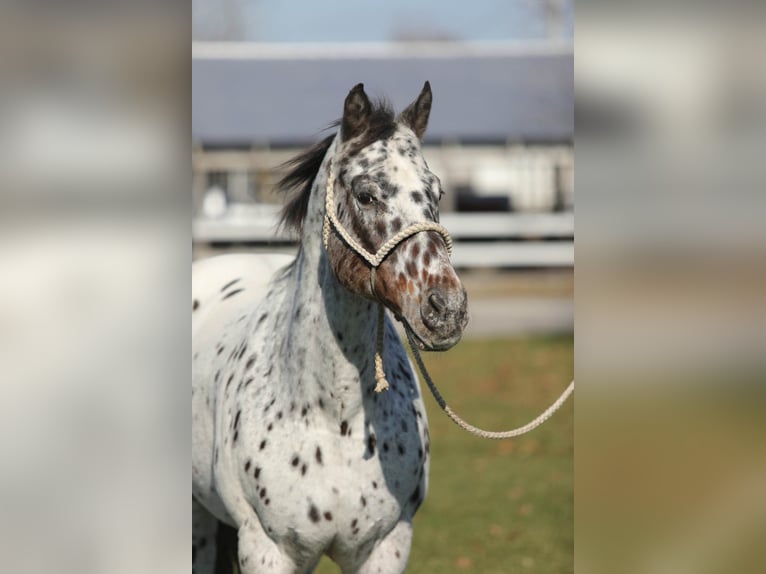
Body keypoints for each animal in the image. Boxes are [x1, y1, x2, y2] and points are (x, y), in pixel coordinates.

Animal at [191, 82, 468, 574]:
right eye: (366, 194)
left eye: (436, 191)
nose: (446, 308)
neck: (334, 417)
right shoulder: (267, 550)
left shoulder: (386, 548)